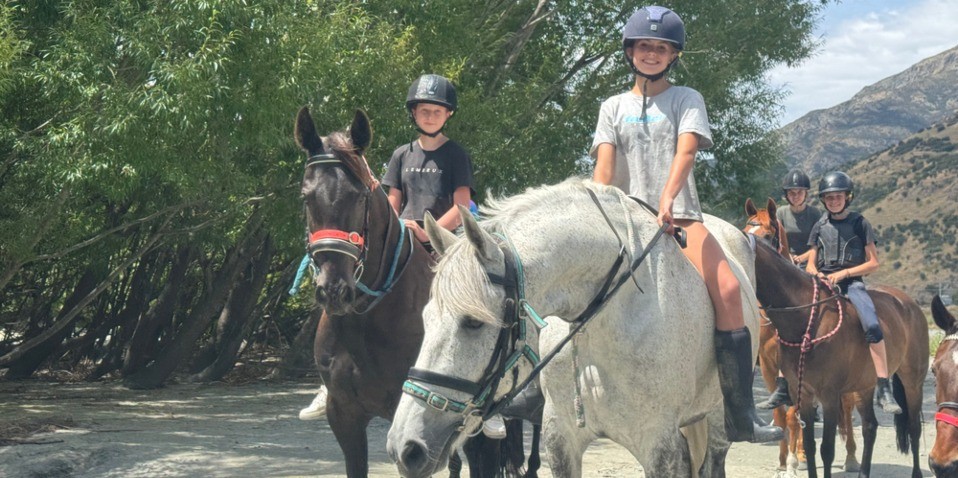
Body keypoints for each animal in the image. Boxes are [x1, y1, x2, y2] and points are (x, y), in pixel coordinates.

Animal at [294, 106, 534, 478]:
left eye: (360, 197)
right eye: (307, 197)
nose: (334, 291)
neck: (367, 321)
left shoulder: (415, 426)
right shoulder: (345, 417)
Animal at [385, 178, 767, 478]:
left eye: (473, 323)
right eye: (426, 318)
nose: (405, 448)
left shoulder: (660, 444)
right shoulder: (561, 437)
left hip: (716, 418)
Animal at [743, 198, 859, 475]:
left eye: (768, 235)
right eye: (744, 229)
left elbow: (793, 416)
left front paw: (796, 460)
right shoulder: (769, 365)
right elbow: (781, 415)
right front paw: (783, 459)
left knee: (847, 406)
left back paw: (849, 457)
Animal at [747, 228, 928, 478]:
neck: (807, 319)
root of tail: (909, 304)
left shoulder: (829, 395)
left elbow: (827, 449)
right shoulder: (803, 393)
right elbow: (810, 445)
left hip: (912, 381)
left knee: (913, 427)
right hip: (864, 385)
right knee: (870, 426)